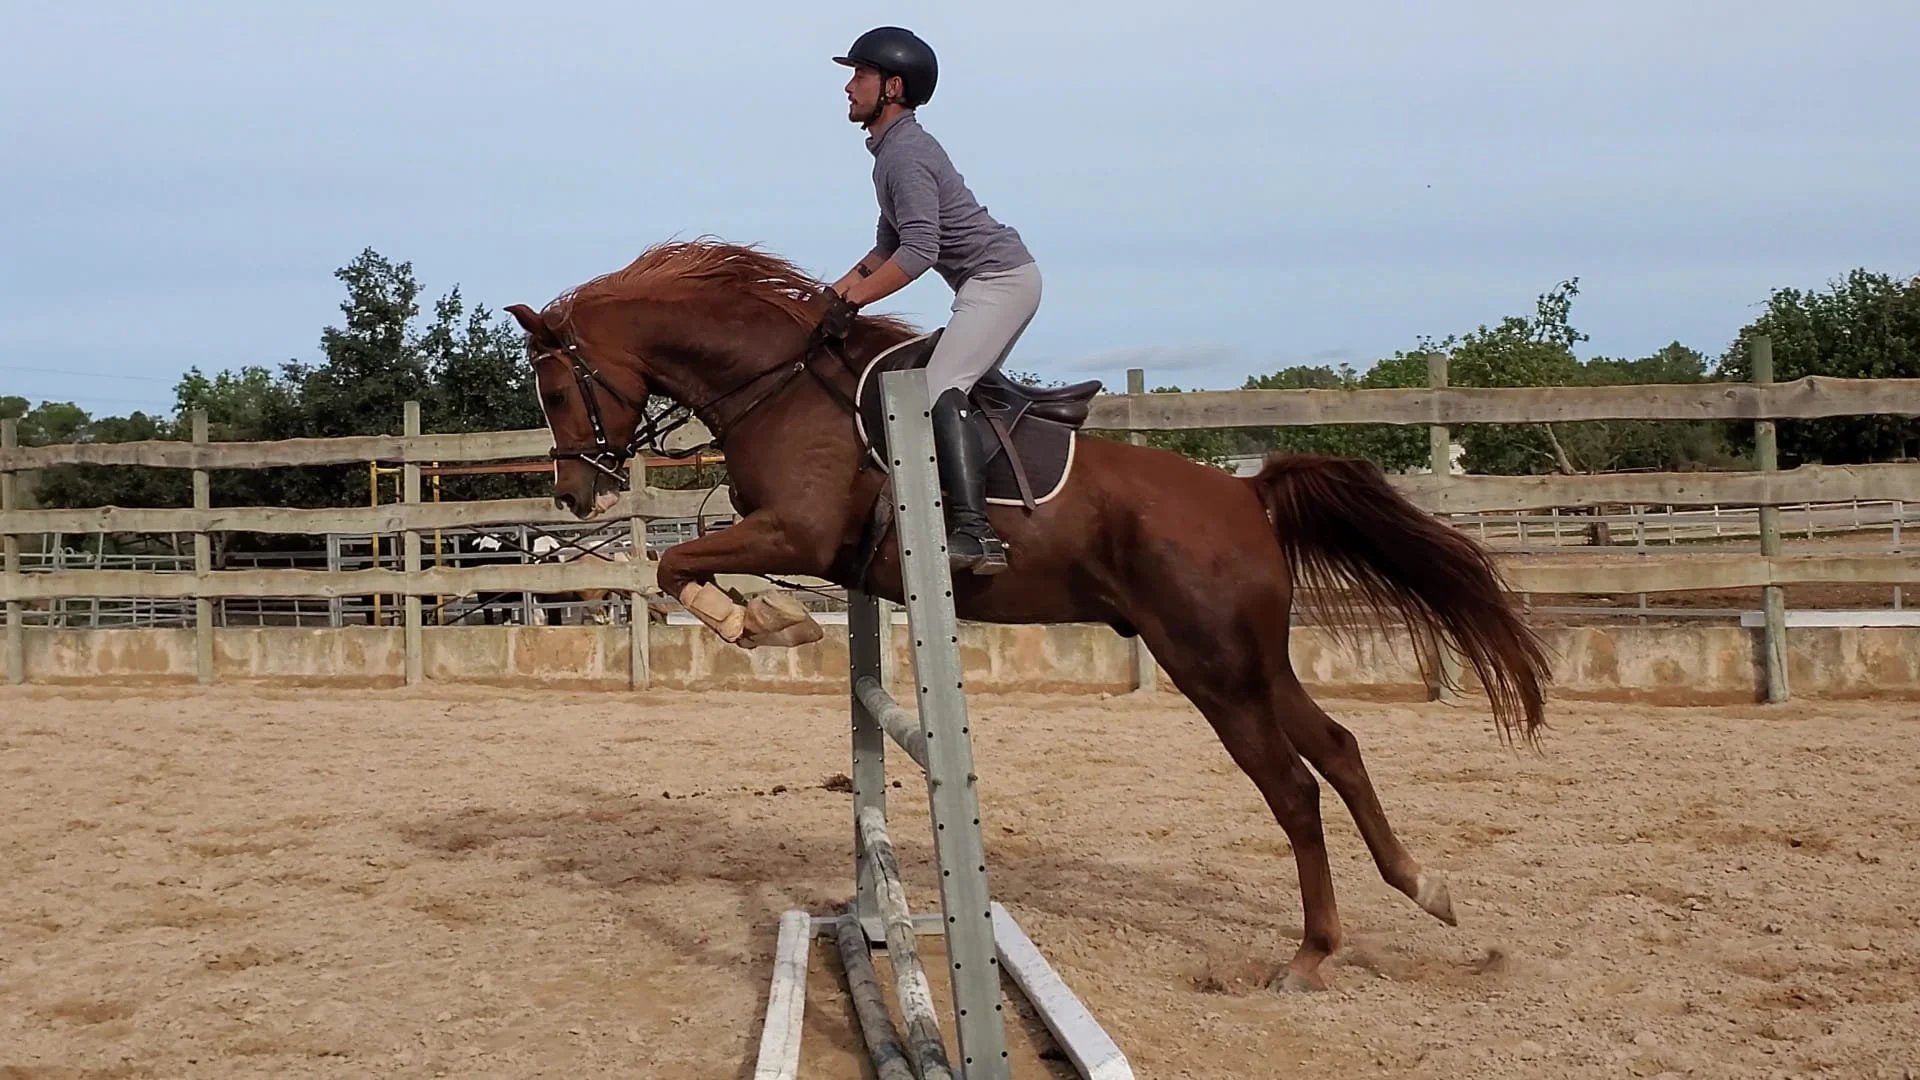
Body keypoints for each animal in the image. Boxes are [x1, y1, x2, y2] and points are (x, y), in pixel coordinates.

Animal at [503, 238, 1552, 992]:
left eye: (555, 388)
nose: (573, 495)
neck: (779, 384)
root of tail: (1246, 496)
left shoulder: (795, 535)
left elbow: (675, 560)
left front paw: (763, 626)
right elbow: (677, 563)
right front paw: (769, 623)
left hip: (1211, 665)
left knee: (1293, 788)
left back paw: (1309, 957)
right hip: (1252, 662)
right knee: (1337, 748)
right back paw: (1423, 889)